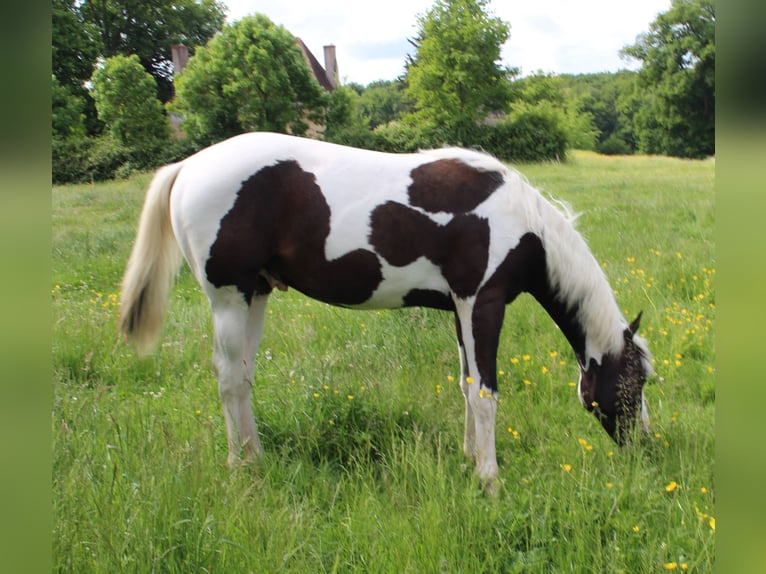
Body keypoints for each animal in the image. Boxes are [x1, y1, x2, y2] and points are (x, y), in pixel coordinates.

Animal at [119, 132, 653, 489]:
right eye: (635, 382)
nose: (646, 444)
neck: (519, 224)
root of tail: (187, 167)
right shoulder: (482, 303)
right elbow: (485, 393)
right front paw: (489, 478)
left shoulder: (459, 309)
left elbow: (466, 386)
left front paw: (468, 459)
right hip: (229, 298)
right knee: (229, 380)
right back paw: (242, 468)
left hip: (255, 294)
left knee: (243, 378)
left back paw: (255, 457)